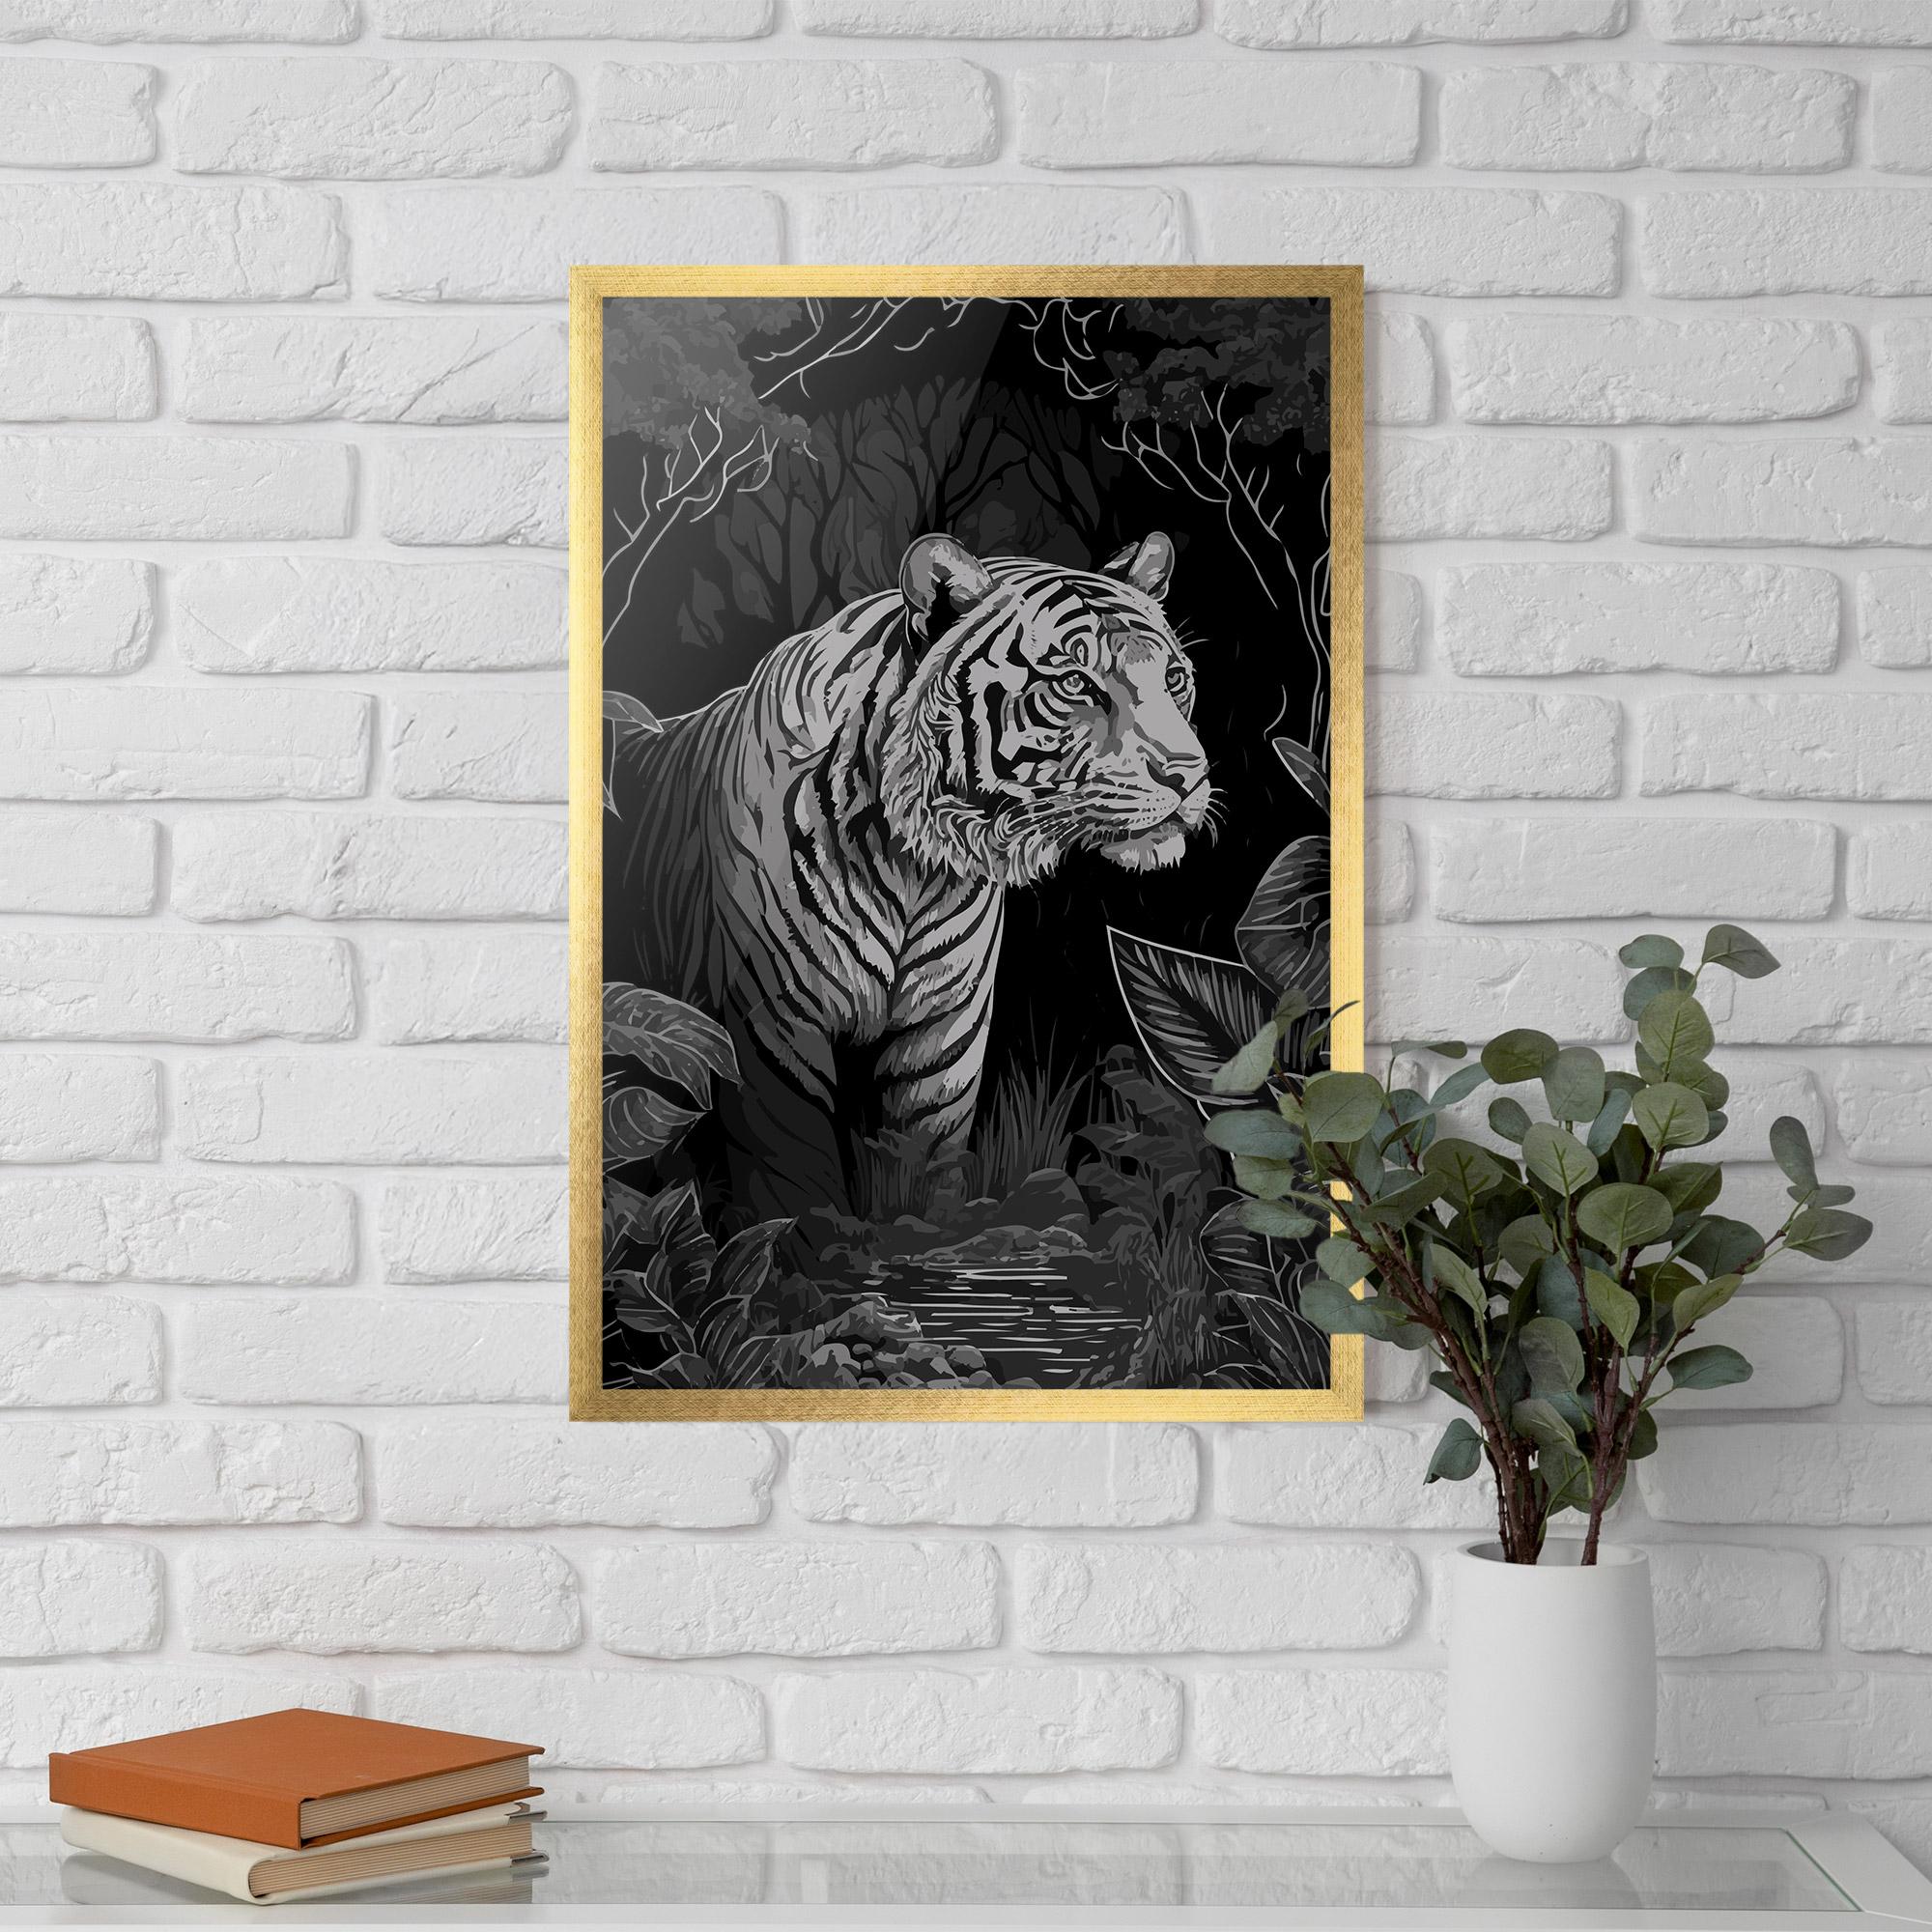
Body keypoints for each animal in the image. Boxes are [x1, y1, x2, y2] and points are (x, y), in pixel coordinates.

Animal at [609, 531, 1212, 1220]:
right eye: (1076, 683)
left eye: (1172, 679)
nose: (1188, 774)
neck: (915, 868)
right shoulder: (771, 1030)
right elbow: (794, 1187)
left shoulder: (943, 1036)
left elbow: (924, 1176)